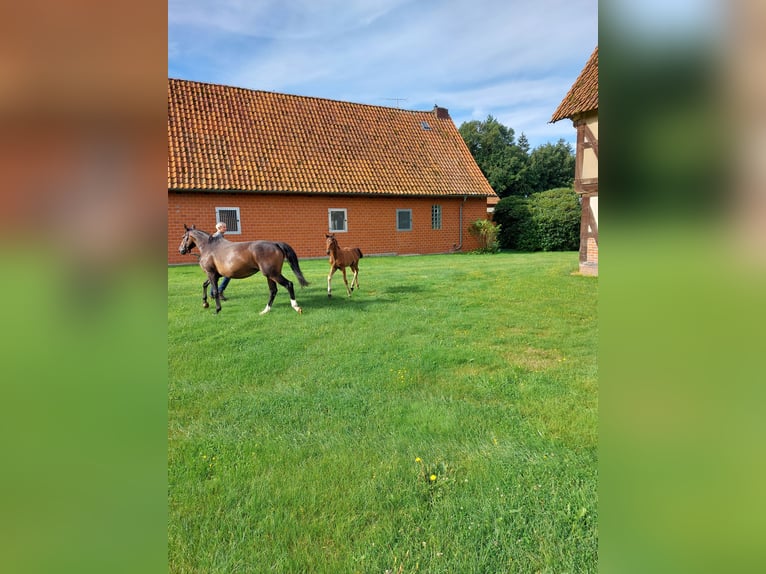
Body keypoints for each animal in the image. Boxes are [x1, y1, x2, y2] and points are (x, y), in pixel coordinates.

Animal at [180, 225, 308, 316]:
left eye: (184, 237)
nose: (180, 250)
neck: (209, 247)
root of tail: (275, 244)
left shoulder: (211, 273)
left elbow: (215, 291)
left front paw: (217, 310)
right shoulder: (215, 275)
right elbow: (205, 284)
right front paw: (205, 303)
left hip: (273, 274)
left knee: (288, 284)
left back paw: (296, 307)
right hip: (270, 275)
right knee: (273, 291)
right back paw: (265, 311)